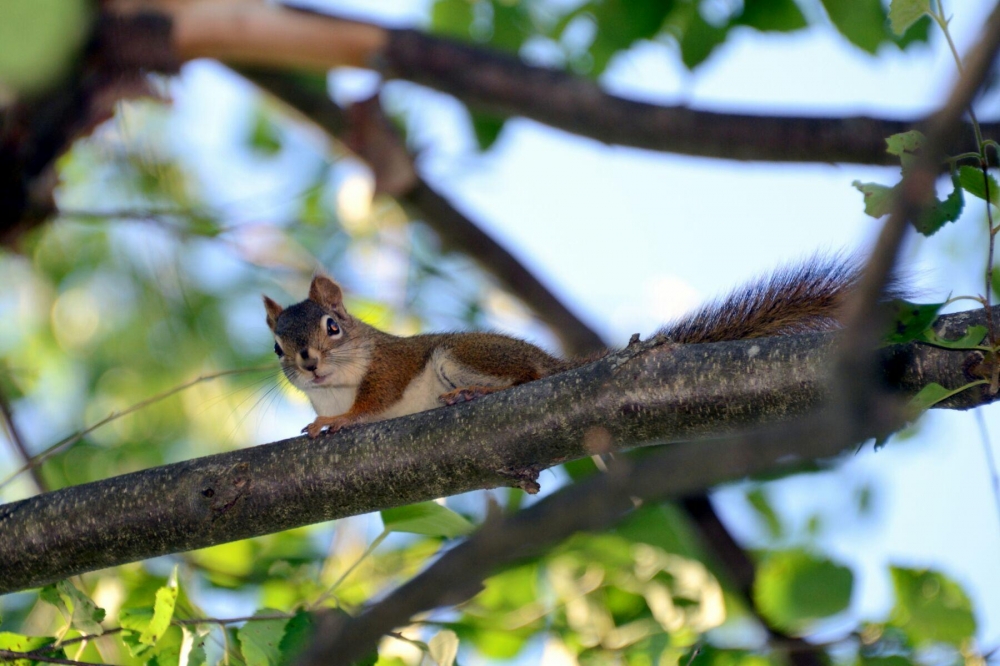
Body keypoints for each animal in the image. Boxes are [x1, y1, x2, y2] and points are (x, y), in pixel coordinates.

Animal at [264, 256, 868, 438]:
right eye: (276, 349)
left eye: (332, 327)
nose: (308, 364)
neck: (335, 386)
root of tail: (555, 362)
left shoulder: (392, 364)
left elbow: (375, 399)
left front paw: (336, 422)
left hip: (463, 356)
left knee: (528, 378)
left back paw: (474, 394)